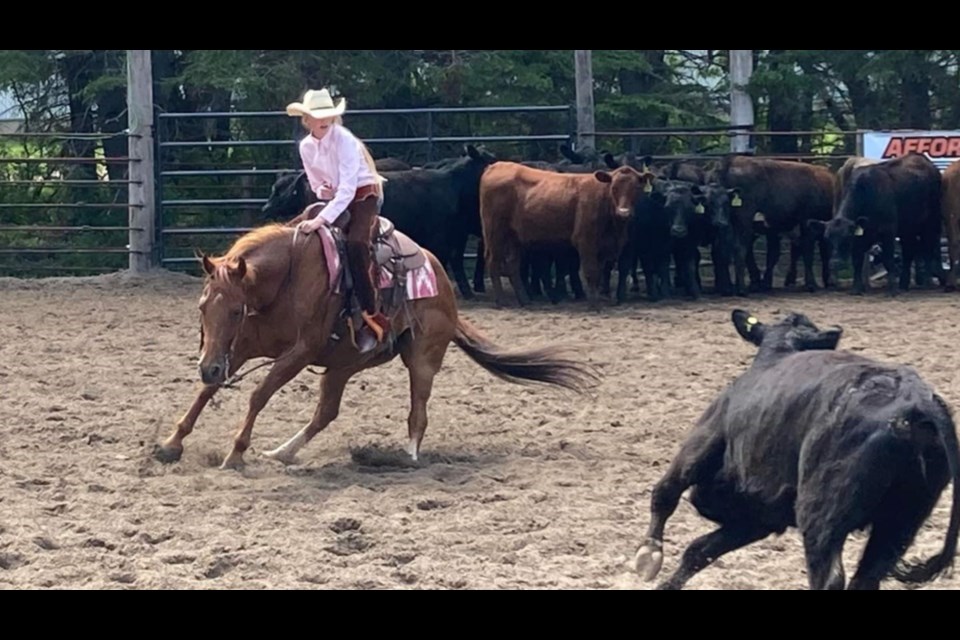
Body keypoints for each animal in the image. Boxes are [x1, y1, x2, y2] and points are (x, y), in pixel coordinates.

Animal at [156, 225, 600, 470]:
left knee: (418, 414)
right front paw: (171, 444)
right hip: (343, 365)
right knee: (326, 413)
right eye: (202, 307)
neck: (286, 280)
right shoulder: (240, 346)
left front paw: (235, 453)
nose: (207, 365)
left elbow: (258, 395)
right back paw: (282, 452)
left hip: (421, 359)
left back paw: (406, 457)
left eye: (235, 310)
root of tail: (442, 281)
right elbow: (207, 391)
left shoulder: (298, 353)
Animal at [632, 310, 956, 592]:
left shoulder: (703, 441)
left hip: (821, 513)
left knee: (829, 577)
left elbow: (666, 492)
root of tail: (917, 404)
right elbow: (700, 549)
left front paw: (648, 556)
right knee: (866, 577)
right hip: (900, 521)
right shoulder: (759, 517)